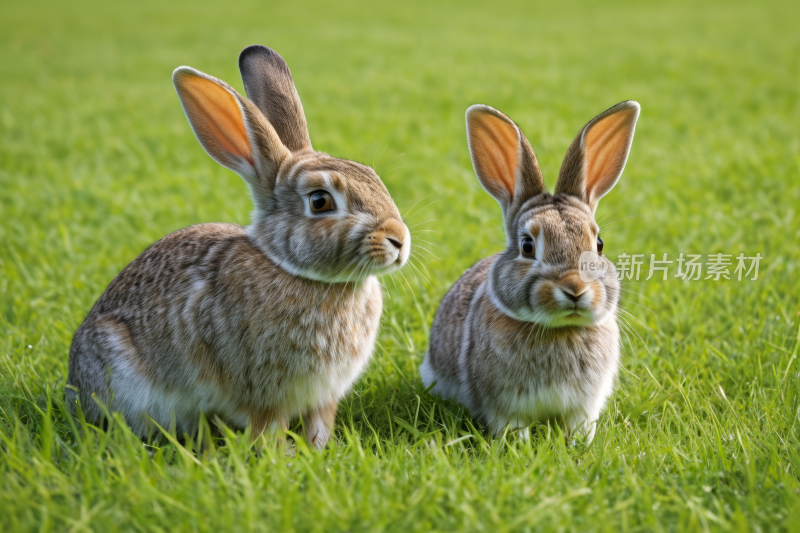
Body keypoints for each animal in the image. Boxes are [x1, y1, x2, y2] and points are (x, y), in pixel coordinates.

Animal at [65, 44, 410, 448]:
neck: (297, 272)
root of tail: (73, 386)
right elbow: (267, 427)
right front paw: (283, 454)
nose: (399, 240)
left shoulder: (324, 397)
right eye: (320, 201)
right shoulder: (262, 392)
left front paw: (320, 451)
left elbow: (319, 424)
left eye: (373, 178)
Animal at [422, 102, 640, 442]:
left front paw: (580, 445)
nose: (575, 289)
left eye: (599, 244)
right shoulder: (505, 408)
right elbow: (513, 428)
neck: (560, 330)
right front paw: (519, 446)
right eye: (527, 246)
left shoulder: (584, 408)